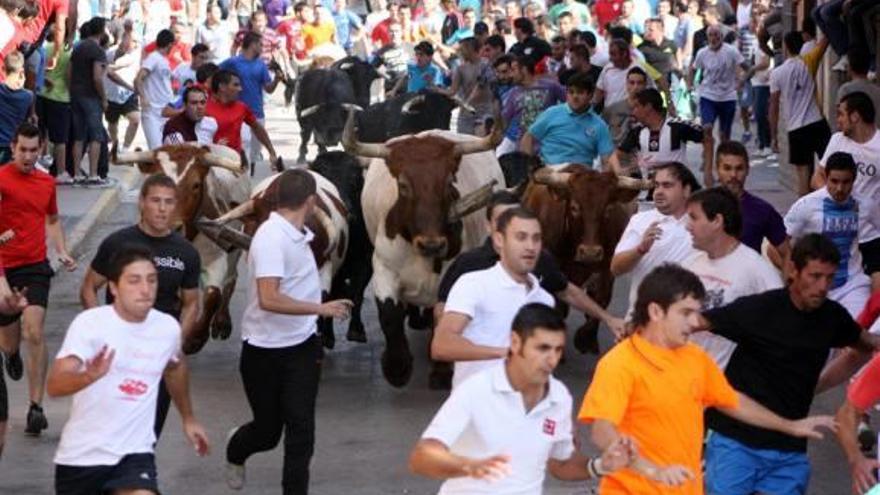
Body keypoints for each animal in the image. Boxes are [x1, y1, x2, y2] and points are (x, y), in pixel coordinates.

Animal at [111, 142, 251, 352]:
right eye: (153, 181)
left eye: (196, 185)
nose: (172, 227)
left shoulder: (216, 258)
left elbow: (213, 294)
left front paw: (195, 339)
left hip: (234, 246)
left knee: (230, 279)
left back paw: (222, 321)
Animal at [344, 108, 508, 388]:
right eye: (403, 185)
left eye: (449, 182)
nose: (432, 244)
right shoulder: (384, 268)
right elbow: (389, 314)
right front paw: (397, 368)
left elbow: (445, 319)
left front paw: (441, 371)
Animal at [520, 166, 648, 352]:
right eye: (574, 207)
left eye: (608, 208)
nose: (590, 252)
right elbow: (558, 305)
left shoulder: (607, 269)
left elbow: (600, 301)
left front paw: (585, 338)